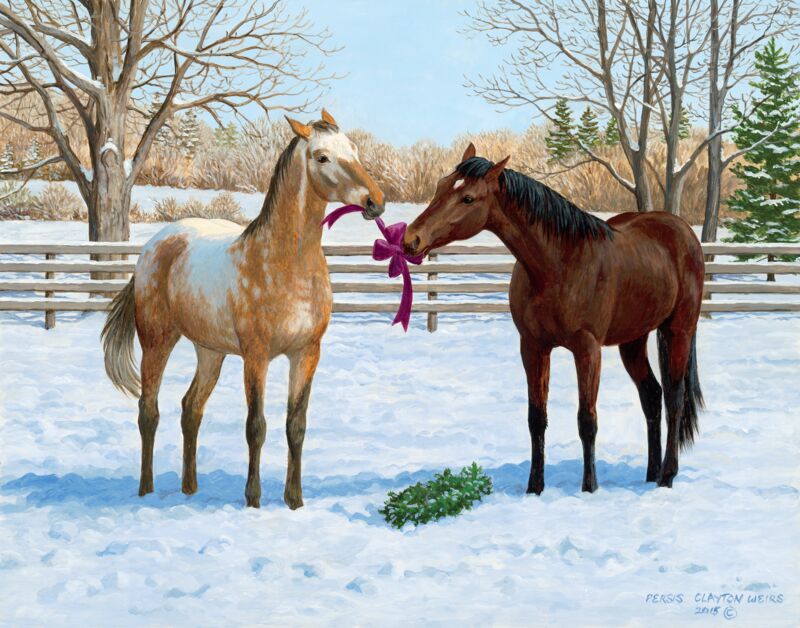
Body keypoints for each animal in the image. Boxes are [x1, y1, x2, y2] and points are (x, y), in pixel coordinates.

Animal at [102, 110, 384, 508]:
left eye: (354, 150)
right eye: (322, 157)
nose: (376, 201)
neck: (285, 263)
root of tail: (156, 245)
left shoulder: (307, 353)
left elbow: (296, 426)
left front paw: (294, 502)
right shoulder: (256, 355)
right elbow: (256, 426)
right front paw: (253, 500)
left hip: (210, 351)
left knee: (191, 409)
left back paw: (190, 489)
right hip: (157, 342)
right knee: (148, 411)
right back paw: (146, 491)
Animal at [404, 143, 705, 494]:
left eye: (467, 198)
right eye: (441, 186)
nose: (411, 239)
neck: (559, 264)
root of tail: (681, 230)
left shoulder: (587, 349)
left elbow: (587, 420)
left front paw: (589, 488)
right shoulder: (533, 347)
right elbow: (536, 418)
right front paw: (534, 488)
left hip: (678, 330)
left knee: (674, 398)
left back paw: (667, 476)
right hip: (633, 340)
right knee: (652, 397)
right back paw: (651, 473)